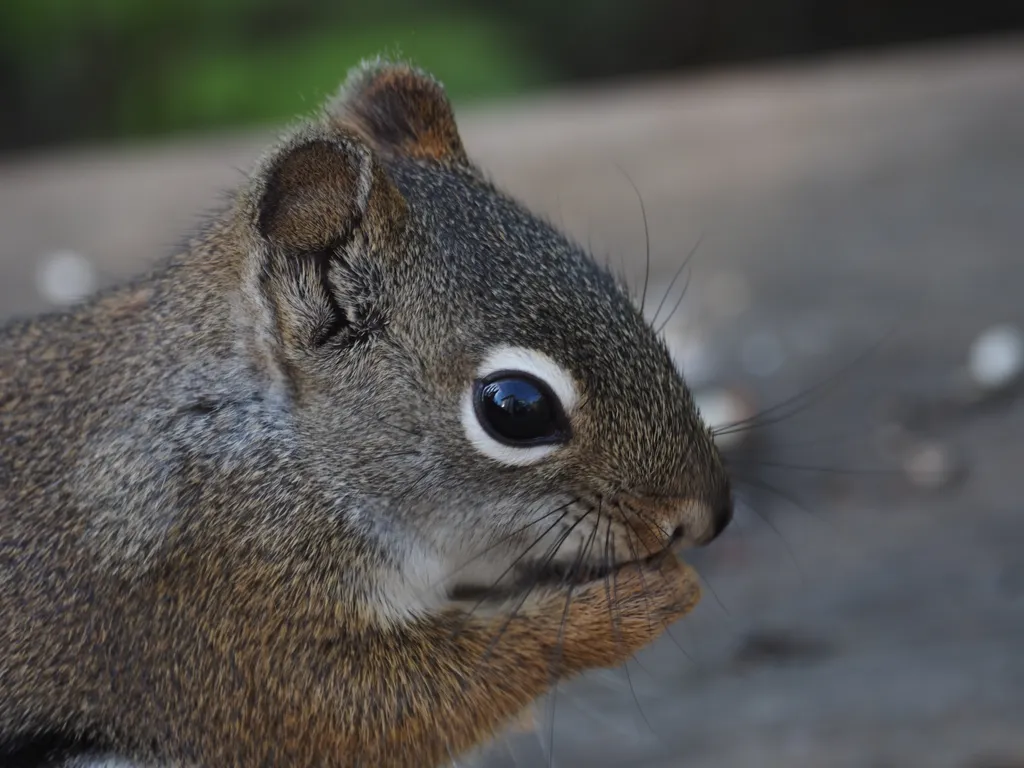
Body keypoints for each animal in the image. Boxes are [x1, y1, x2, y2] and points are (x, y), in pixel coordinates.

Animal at [0, 59, 733, 768]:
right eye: (515, 409)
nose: (709, 515)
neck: (280, 457)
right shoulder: (214, 614)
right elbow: (368, 710)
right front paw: (634, 604)